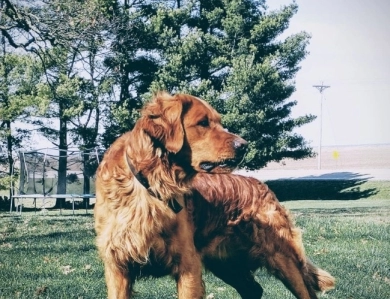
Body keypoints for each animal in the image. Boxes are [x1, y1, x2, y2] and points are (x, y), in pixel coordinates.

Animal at [93, 92, 247, 298]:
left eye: (219, 122)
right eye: (203, 123)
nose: (244, 146)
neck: (150, 184)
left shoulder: (188, 264)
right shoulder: (117, 264)